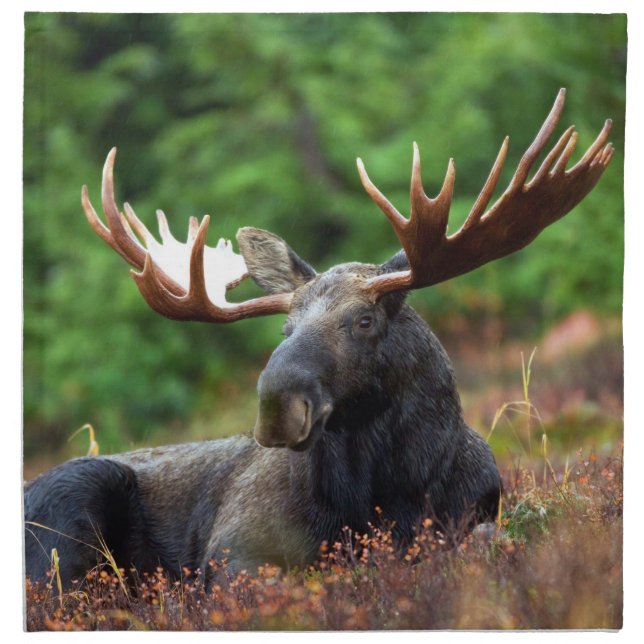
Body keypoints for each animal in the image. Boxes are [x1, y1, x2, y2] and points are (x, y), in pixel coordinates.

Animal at [24, 89, 613, 588]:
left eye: (364, 320)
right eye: (286, 327)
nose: (276, 406)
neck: (388, 494)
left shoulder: (477, 513)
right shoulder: (233, 550)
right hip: (70, 504)